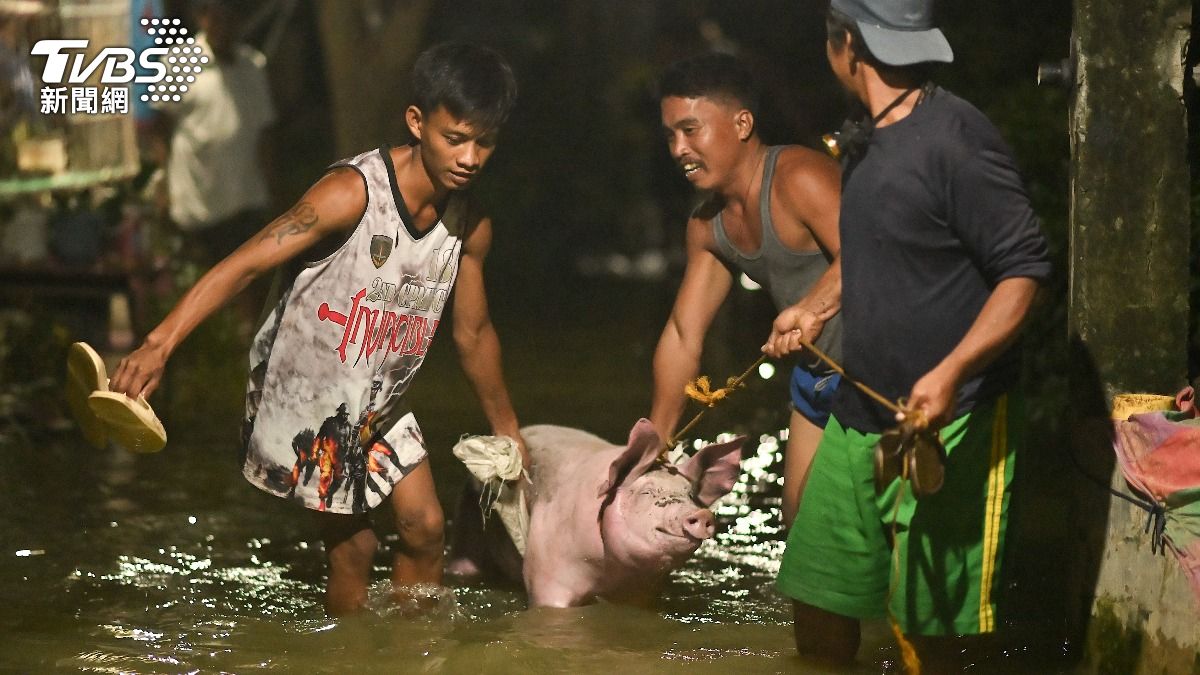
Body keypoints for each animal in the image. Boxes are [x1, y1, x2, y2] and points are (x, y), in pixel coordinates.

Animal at [451, 417, 739, 607]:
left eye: (690, 493)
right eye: (647, 492)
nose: (702, 515)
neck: (608, 572)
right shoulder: (547, 572)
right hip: (467, 522)